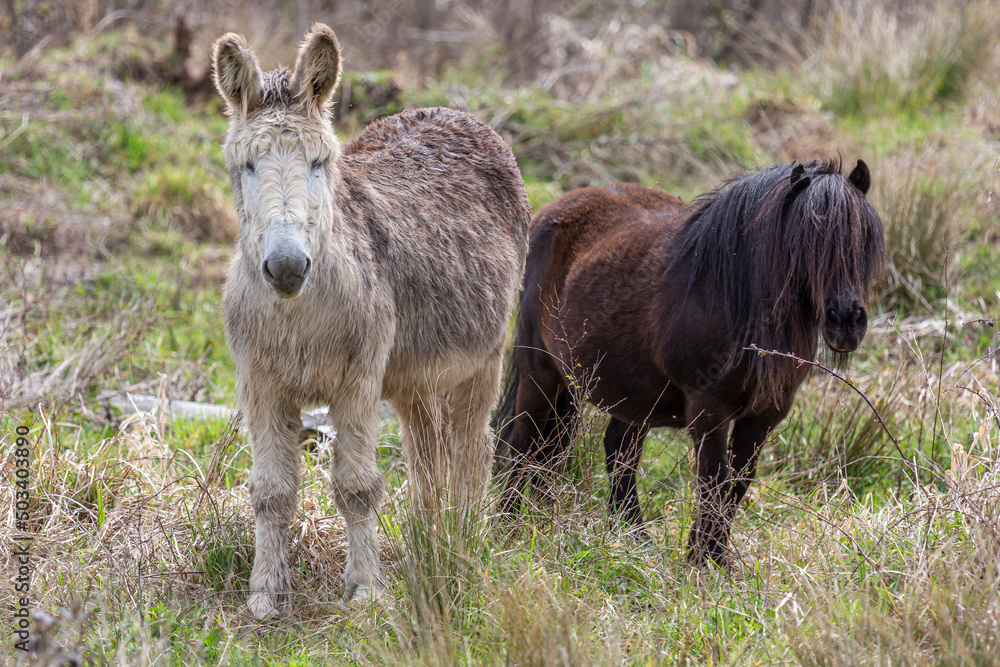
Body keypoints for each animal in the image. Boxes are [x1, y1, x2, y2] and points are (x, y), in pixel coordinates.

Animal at [212, 24, 530, 618]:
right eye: (247, 166)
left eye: (318, 163)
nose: (286, 265)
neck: (299, 315)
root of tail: (452, 113)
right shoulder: (260, 384)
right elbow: (270, 490)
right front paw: (266, 594)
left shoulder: (357, 381)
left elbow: (357, 485)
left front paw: (365, 590)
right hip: (413, 376)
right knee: (428, 455)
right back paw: (428, 543)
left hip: (484, 360)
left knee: (472, 449)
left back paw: (465, 543)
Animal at [494, 159, 884, 564]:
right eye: (806, 238)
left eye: (865, 239)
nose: (846, 320)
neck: (728, 293)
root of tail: (548, 212)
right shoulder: (709, 410)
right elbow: (714, 481)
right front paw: (708, 563)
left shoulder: (765, 414)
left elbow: (736, 484)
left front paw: (705, 556)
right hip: (540, 372)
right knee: (524, 444)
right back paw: (509, 532)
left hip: (632, 395)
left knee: (618, 452)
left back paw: (636, 543)